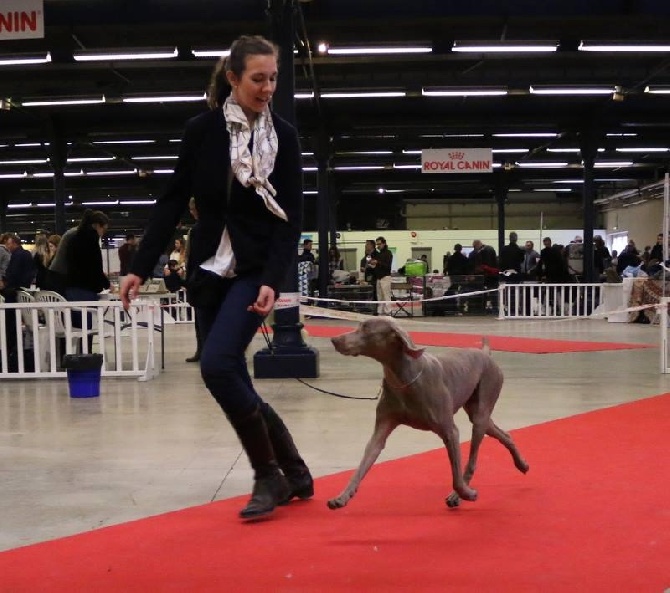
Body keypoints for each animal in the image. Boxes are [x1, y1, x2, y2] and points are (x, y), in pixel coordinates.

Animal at [330, 314, 532, 508]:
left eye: (365, 328)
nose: (334, 339)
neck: (403, 378)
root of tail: (485, 353)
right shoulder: (381, 429)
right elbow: (362, 464)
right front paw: (342, 496)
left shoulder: (450, 432)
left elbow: (456, 478)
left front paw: (466, 493)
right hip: (479, 413)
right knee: (505, 435)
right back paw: (522, 464)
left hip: (482, 409)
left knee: (472, 460)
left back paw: (459, 495)